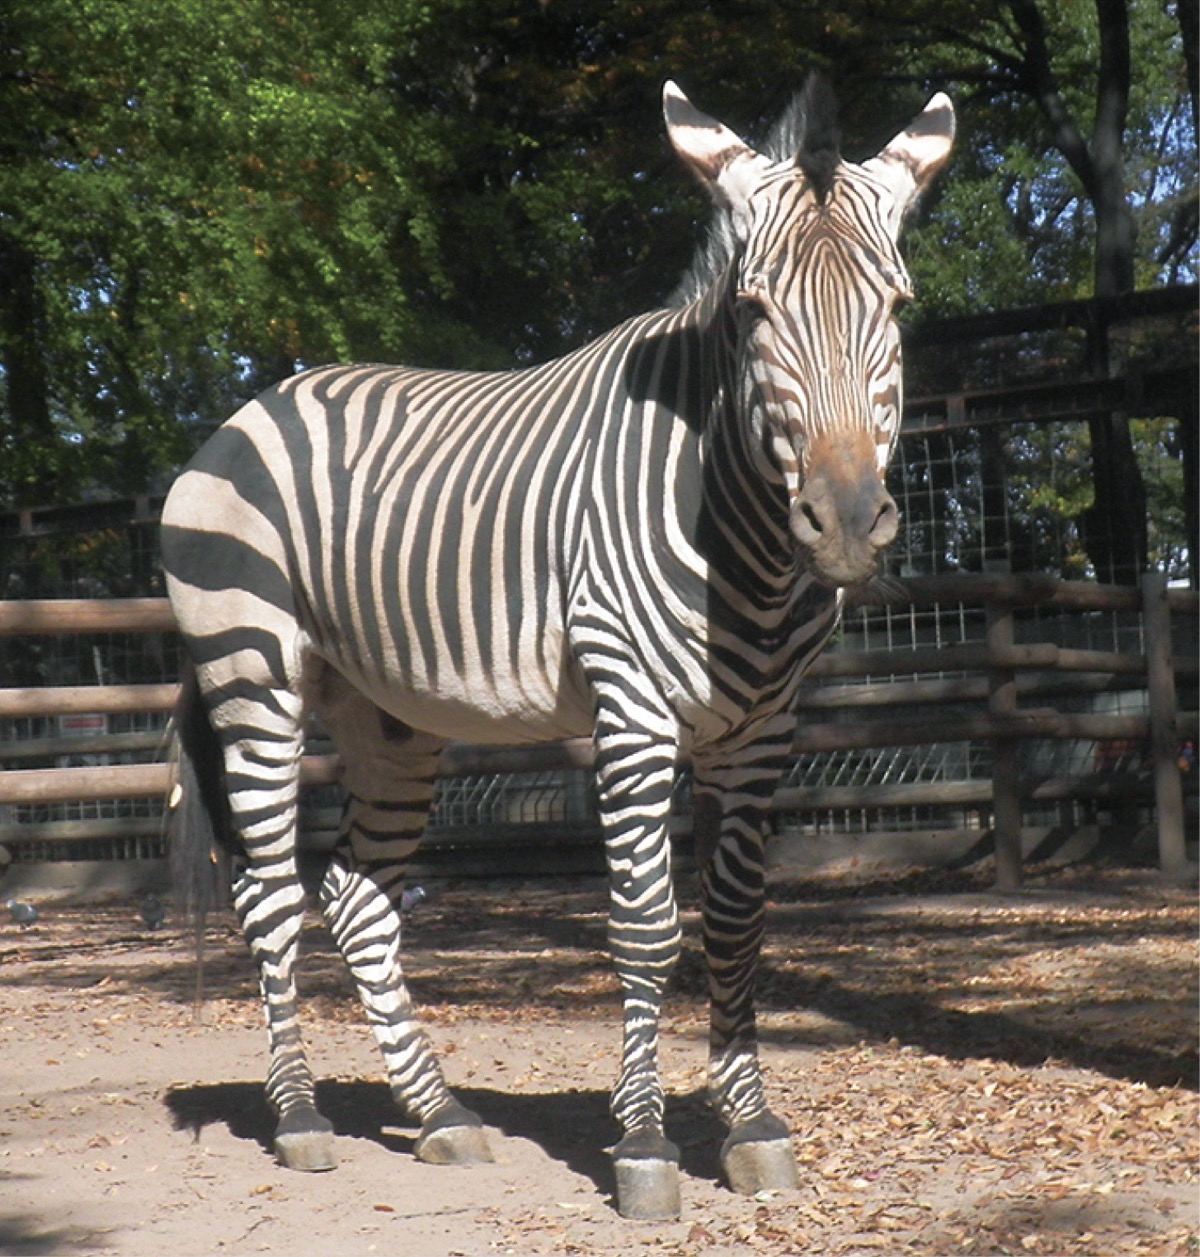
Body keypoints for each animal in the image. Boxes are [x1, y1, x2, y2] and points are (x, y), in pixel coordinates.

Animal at [162, 75, 954, 1220]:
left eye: (894, 309)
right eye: (754, 313)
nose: (846, 523)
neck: (739, 536)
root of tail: (253, 403)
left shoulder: (763, 732)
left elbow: (738, 922)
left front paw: (750, 1125)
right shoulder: (632, 714)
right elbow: (645, 929)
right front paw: (644, 1147)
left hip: (388, 717)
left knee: (356, 899)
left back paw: (440, 1114)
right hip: (252, 674)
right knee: (270, 895)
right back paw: (302, 1119)